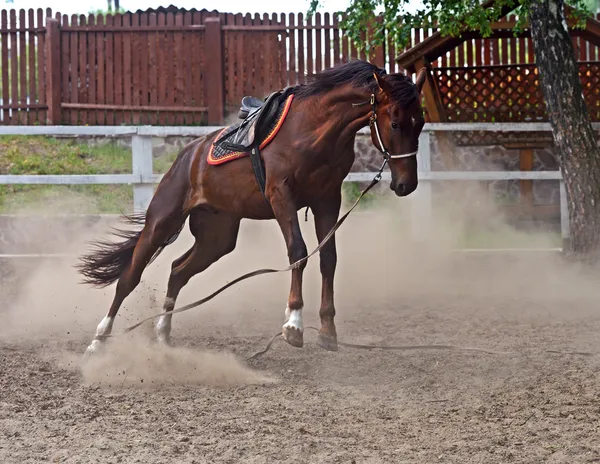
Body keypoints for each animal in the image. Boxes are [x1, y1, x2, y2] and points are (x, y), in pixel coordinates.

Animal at [78, 58, 426, 356]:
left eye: (421, 123)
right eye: (395, 124)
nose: (406, 185)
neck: (311, 131)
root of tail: (187, 155)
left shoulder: (328, 200)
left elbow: (328, 257)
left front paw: (328, 331)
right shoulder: (280, 195)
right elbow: (298, 251)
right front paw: (293, 324)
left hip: (217, 236)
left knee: (177, 271)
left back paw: (163, 333)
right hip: (161, 222)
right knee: (129, 277)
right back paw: (99, 339)